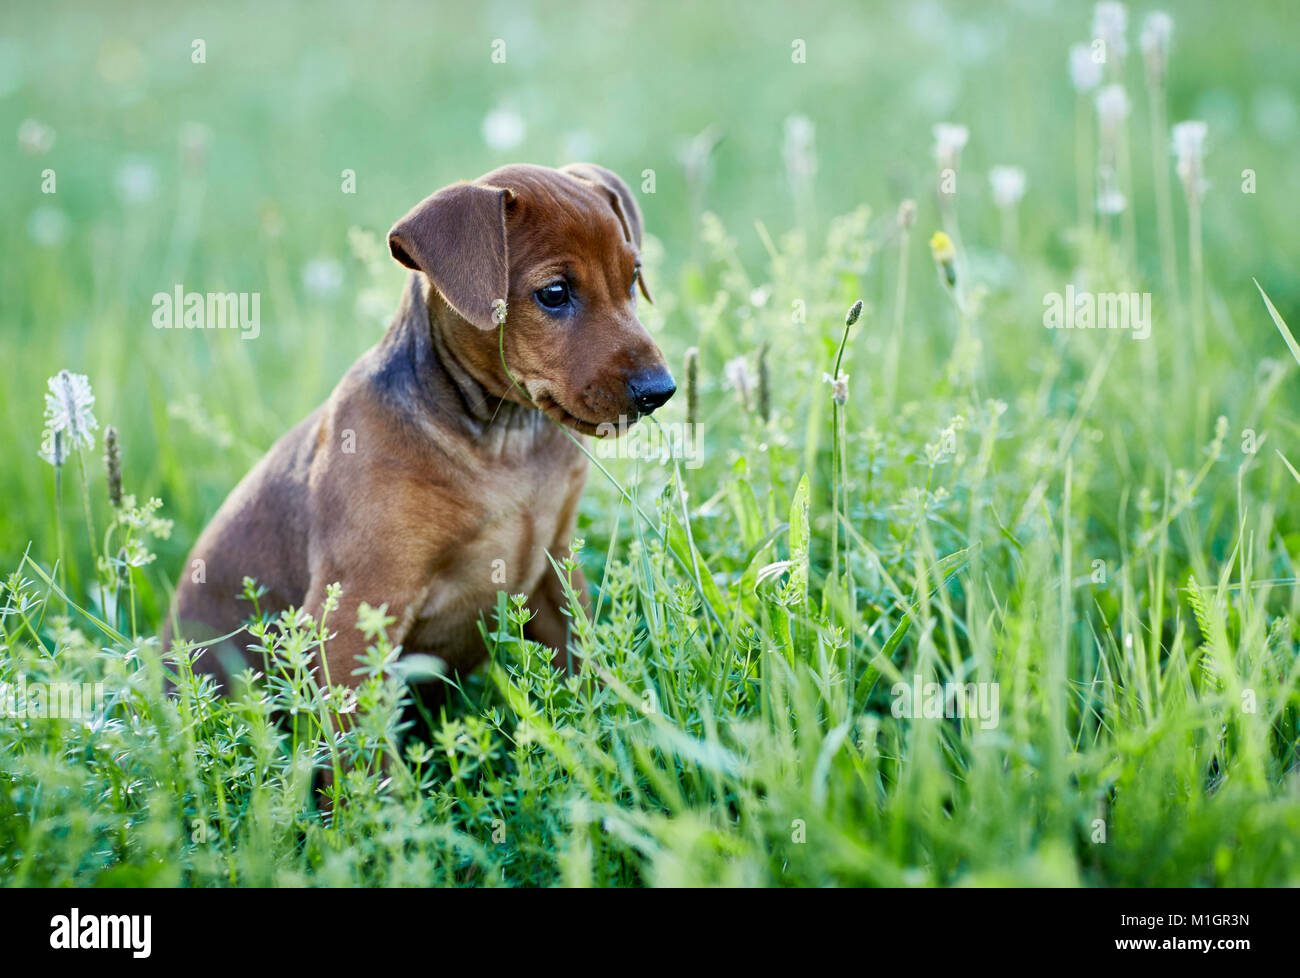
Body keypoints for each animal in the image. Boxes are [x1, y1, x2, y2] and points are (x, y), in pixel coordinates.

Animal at [166, 164, 676, 691]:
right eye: (554, 293)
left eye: (632, 277)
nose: (660, 391)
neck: (505, 441)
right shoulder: (357, 612)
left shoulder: (556, 569)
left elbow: (586, 676)